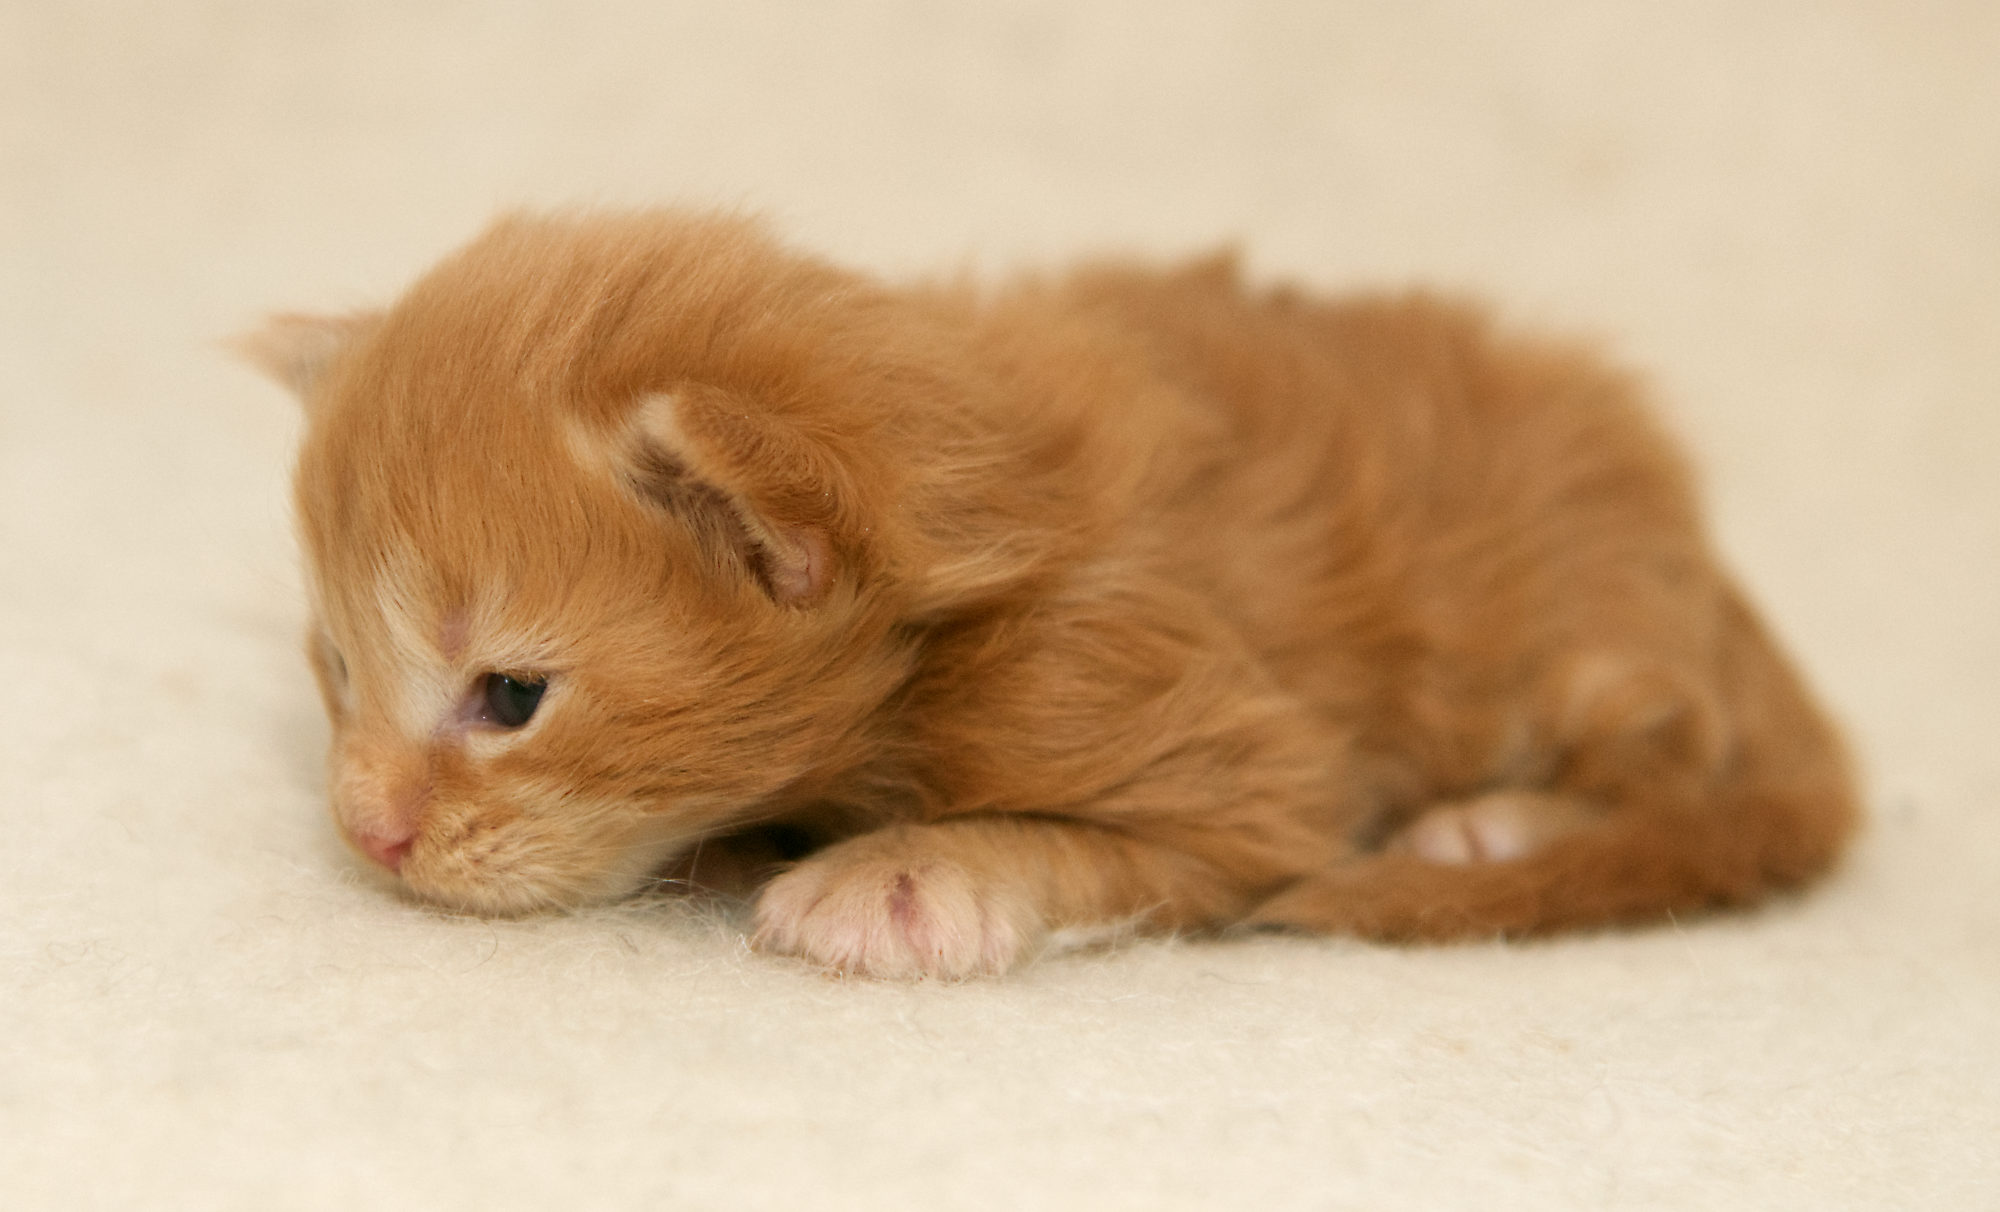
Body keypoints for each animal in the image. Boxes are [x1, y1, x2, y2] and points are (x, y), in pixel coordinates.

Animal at [239, 210, 1858, 978]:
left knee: (1679, 762)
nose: (367, 835)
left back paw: (1499, 824)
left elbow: (1099, 842)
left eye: (510, 695)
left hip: (1592, 648)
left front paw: (904, 878)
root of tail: (1705, 564)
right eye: (338, 669)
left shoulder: (1222, 756)